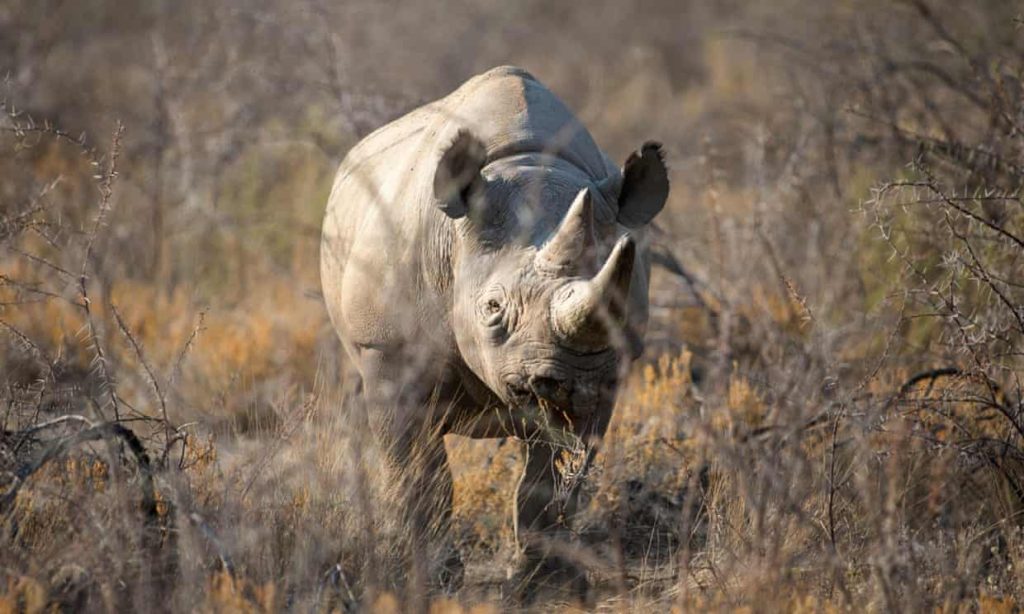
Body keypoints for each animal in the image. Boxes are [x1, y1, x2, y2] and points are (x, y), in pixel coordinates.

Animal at [321, 67, 671, 597]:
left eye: (621, 305)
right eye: (492, 308)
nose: (561, 380)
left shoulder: (608, 378)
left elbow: (550, 478)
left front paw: (542, 581)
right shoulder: (384, 349)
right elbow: (421, 474)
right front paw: (434, 580)